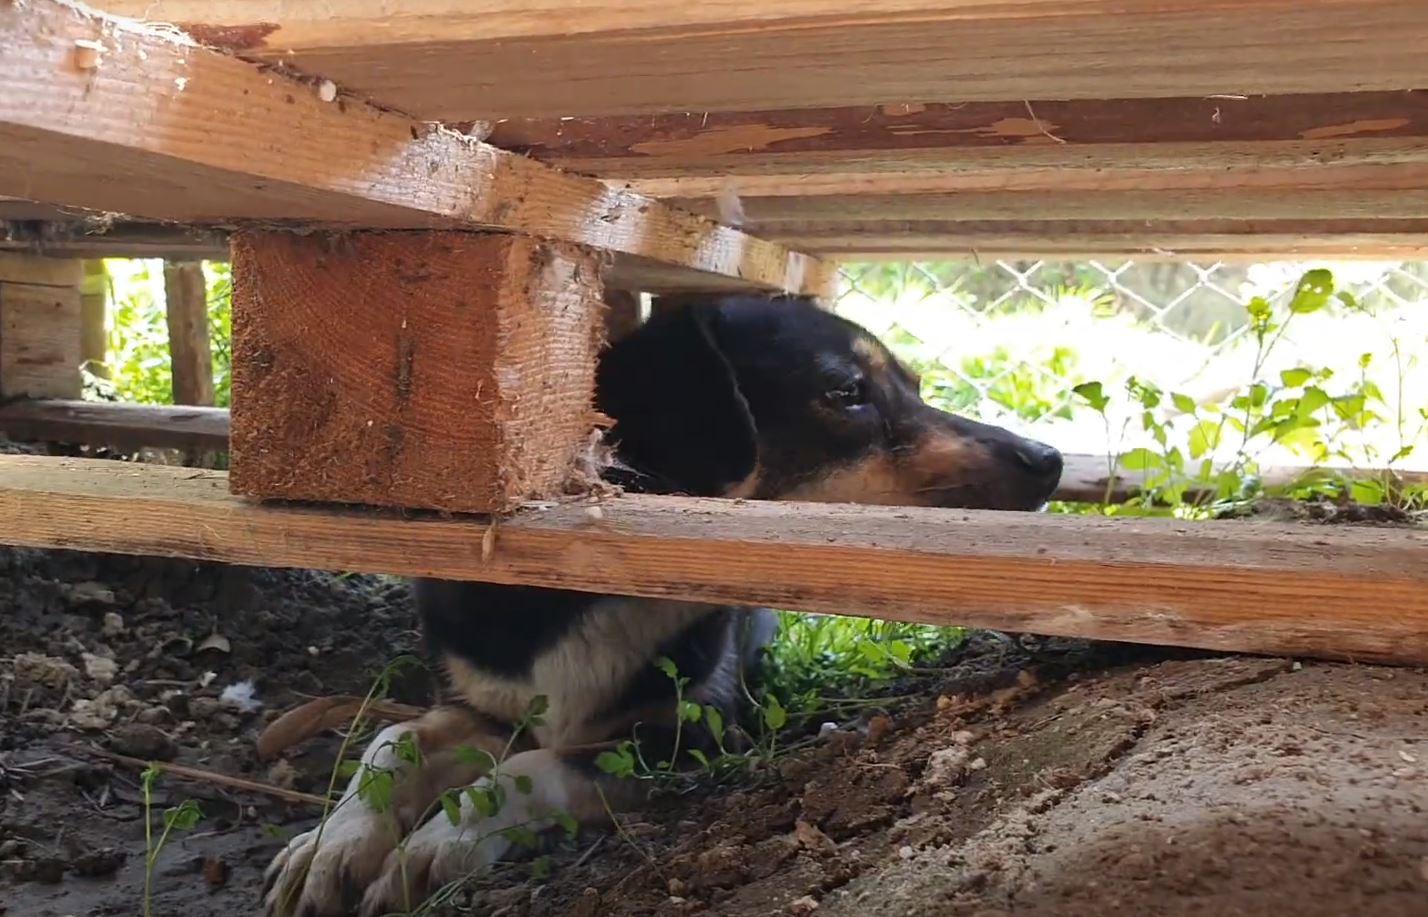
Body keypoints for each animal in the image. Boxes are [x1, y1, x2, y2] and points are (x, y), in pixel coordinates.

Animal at [262, 294, 1062, 914]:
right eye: (845, 391)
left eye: (916, 386)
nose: (1049, 459)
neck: (589, 592)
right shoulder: (481, 708)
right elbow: (390, 741)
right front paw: (328, 845)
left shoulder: (689, 735)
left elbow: (531, 769)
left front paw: (438, 840)